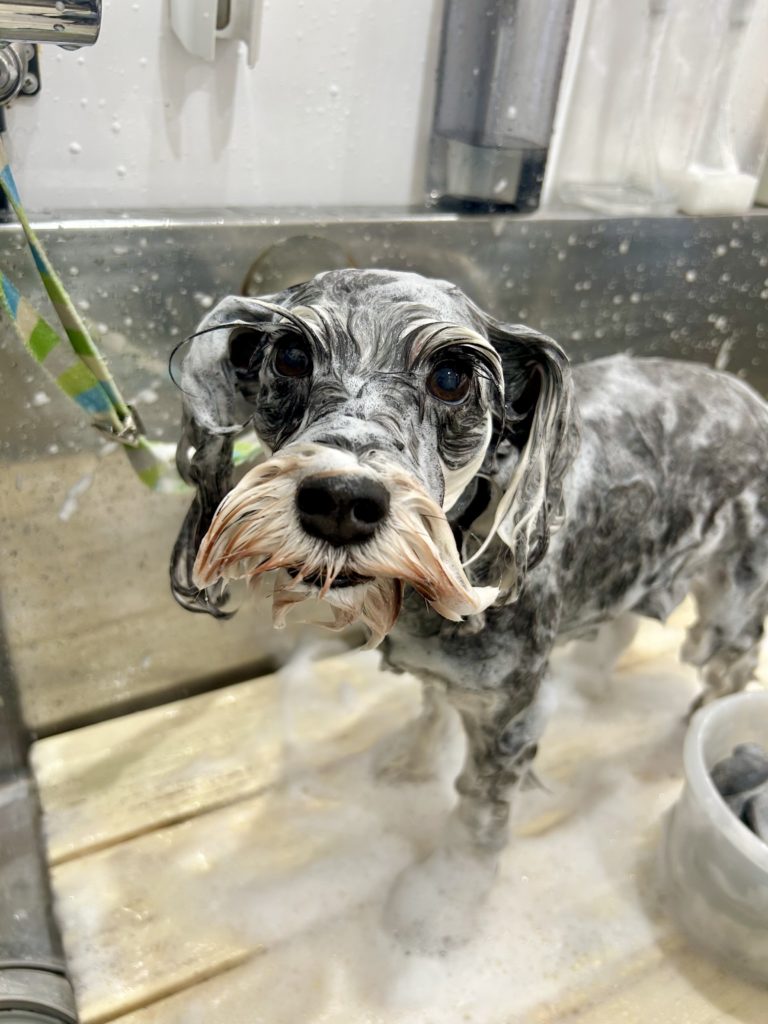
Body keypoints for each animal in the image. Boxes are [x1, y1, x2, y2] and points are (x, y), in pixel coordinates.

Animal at [170, 268, 768, 945]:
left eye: (451, 375)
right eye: (292, 356)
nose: (342, 500)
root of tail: (749, 396)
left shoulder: (508, 714)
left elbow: (479, 815)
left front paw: (444, 903)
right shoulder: (444, 668)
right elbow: (432, 705)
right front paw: (411, 761)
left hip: (734, 598)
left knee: (727, 673)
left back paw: (685, 745)